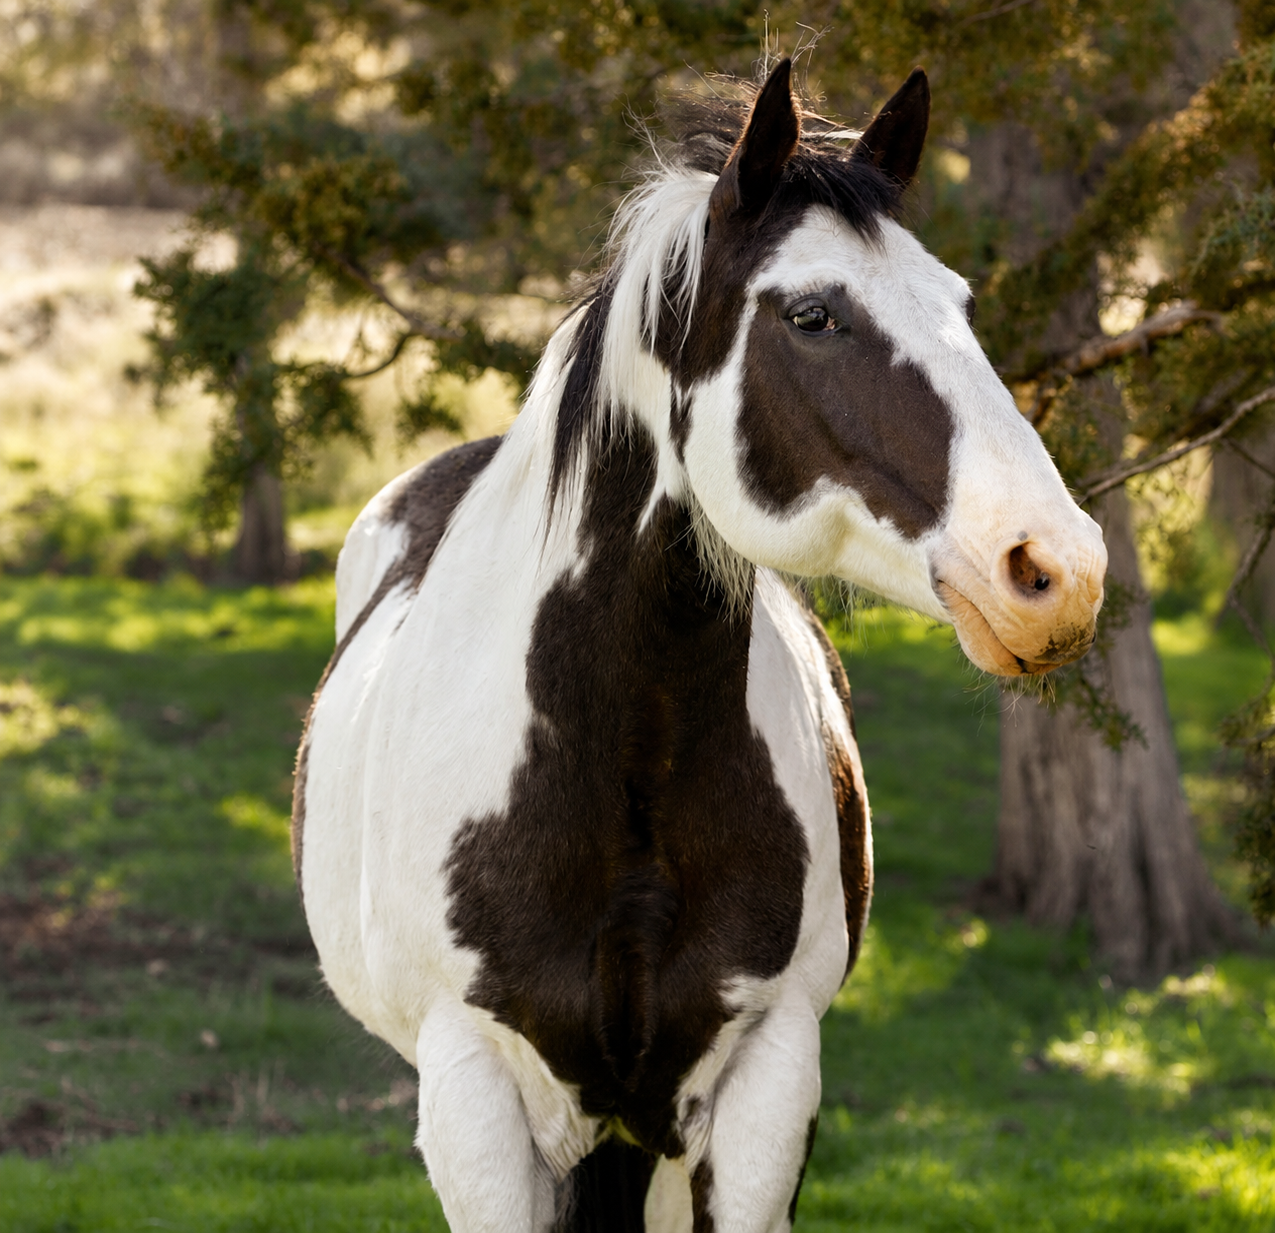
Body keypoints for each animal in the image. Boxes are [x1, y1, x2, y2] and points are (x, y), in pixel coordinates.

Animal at [292, 59, 1106, 1233]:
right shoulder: (474, 1097)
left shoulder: (768, 1081)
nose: (1055, 572)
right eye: (812, 314)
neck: (617, 767)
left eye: (958, 302)